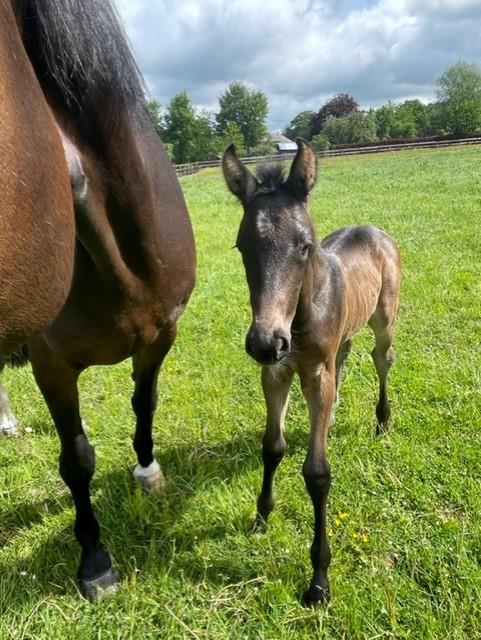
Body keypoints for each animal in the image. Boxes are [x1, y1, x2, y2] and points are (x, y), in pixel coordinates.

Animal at [2, 0, 193, 600]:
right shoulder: (53, 365)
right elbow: (77, 459)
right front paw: (94, 560)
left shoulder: (161, 335)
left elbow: (144, 402)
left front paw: (147, 471)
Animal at [223, 140, 400, 604]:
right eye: (242, 246)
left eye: (304, 245)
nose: (265, 341)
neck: (299, 321)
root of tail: (373, 230)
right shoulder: (277, 372)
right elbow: (273, 446)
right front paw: (261, 517)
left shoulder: (313, 374)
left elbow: (317, 474)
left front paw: (319, 580)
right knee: (346, 357)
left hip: (385, 319)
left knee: (381, 358)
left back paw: (382, 420)